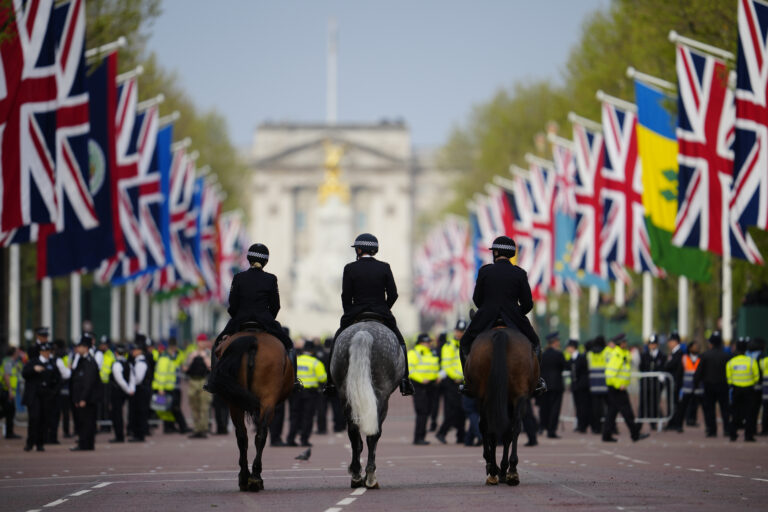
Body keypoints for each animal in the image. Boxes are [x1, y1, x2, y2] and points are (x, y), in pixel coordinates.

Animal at [208, 330, 292, 494]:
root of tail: (252, 338)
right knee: (257, 434)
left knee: (245, 436)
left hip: (238, 403)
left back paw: (249, 477)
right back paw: (253, 477)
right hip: (263, 400)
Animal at [330, 322, 404, 490]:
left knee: (353, 432)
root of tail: (363, 333)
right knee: (373, 435)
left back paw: (356, 475)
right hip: (381, 396)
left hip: (345, 395)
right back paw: (370, 477)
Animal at [464, 326, 536, 486]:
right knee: (513, 427)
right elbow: (508, 433)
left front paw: (497, 468)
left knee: (487, 427)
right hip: (517, 395)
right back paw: (510, 470)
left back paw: (496, 470)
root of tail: (500, 332)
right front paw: (503, 469)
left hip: (485, 397)